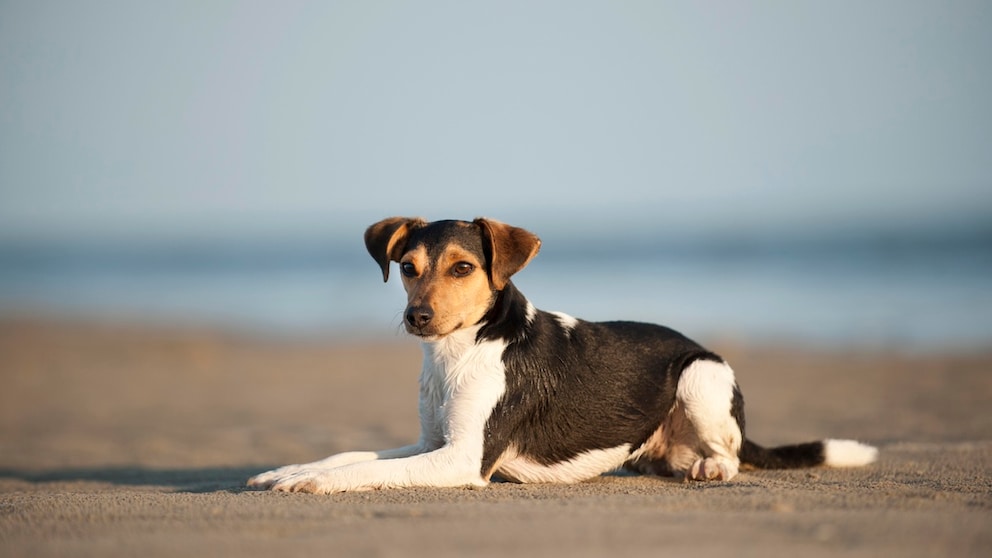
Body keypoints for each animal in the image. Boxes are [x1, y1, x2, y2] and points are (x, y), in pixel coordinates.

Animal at [248, 218, 876, 494]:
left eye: (463, 268)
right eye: (407, 267)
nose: (416, 318)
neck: (457, 354)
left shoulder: (463, 459)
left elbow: (365, 469)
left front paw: (311, 483)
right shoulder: (433, 443)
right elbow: (351, 454)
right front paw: (291, 469)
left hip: (702, 374)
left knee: (733, 454)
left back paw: (710, 467)